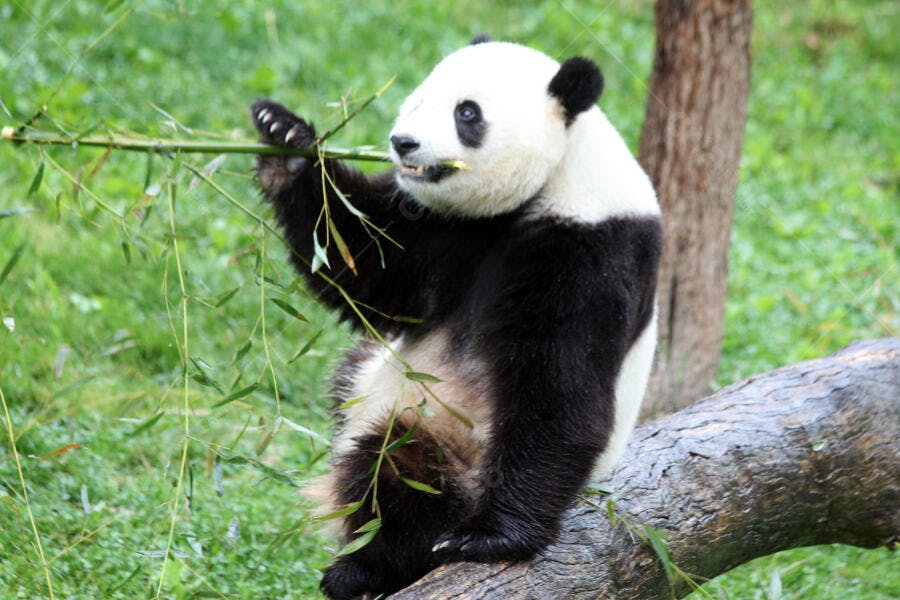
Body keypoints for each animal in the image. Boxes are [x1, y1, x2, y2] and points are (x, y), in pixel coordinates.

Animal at [251, 37, 661, 600]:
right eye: (419, 99)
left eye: (467, 113)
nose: (402, 143)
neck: (557, 178)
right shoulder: (445, 227)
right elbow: (370, 268)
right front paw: (284, 137)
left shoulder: (591, 253)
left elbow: (559, 391)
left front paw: (492, 539)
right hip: (367, 378)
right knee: (351, 380)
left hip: (456, 445)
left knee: (397, 468)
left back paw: (370, 565)